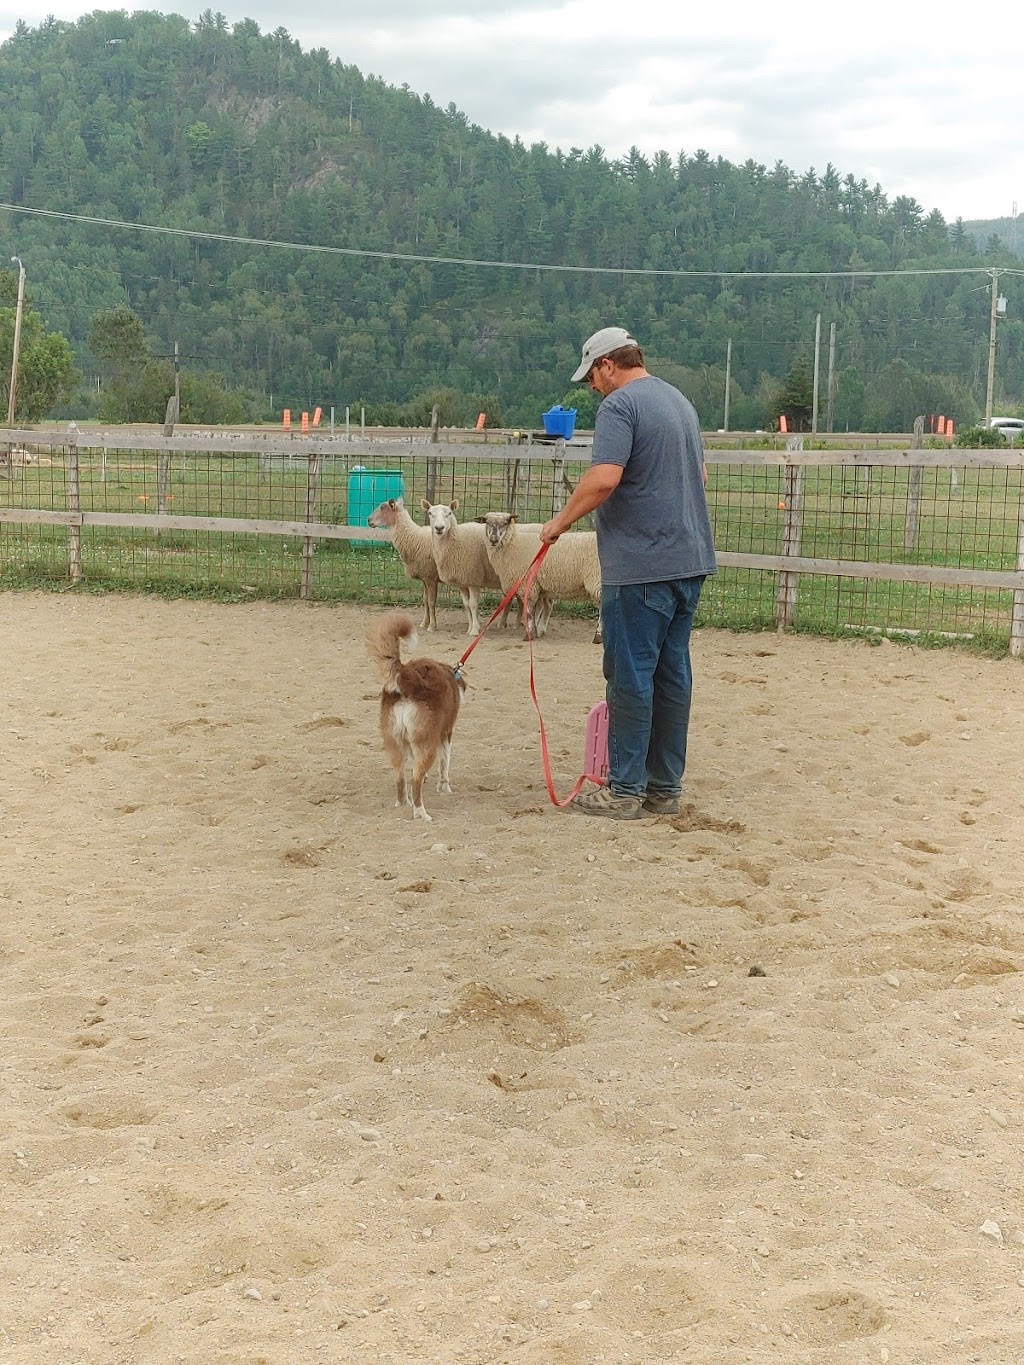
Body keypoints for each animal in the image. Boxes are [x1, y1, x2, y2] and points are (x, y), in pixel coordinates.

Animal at [365, 611, 466, 819]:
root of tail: (407, 674)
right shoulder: (445, 734)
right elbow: (444, 764)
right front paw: (445, 788)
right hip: (427, 742)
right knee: (415, 781)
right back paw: (421, 813)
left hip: (394, 742)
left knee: (401, 778)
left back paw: (403, 803)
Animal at [368, 499, 442, 630]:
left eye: (382, 507)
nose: (368, 520)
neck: (414, 538)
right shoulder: (425, 578)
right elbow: (425, 600)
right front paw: (424, 623)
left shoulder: (431, 578)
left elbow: (431, 602)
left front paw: (432, 626)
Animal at [417, 499, 516, 636]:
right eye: (430, 513)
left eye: (449, 513)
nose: (439, 528)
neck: (457, 539)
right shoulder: (463, 581)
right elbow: (466, 605)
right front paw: (470, 628)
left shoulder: (474, 578)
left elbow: (473, 605)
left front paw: (474, 631)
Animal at [486, 513, 606, 644]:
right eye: (487, 522)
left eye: (505, 523)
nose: (493, 539)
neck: (513, 544)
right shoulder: (536, 586)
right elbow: (534, 611)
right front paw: (534, 631)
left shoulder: (528, 585)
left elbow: (529, 612)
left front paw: (528, 635)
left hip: (597, 580)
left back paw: (598, 636)